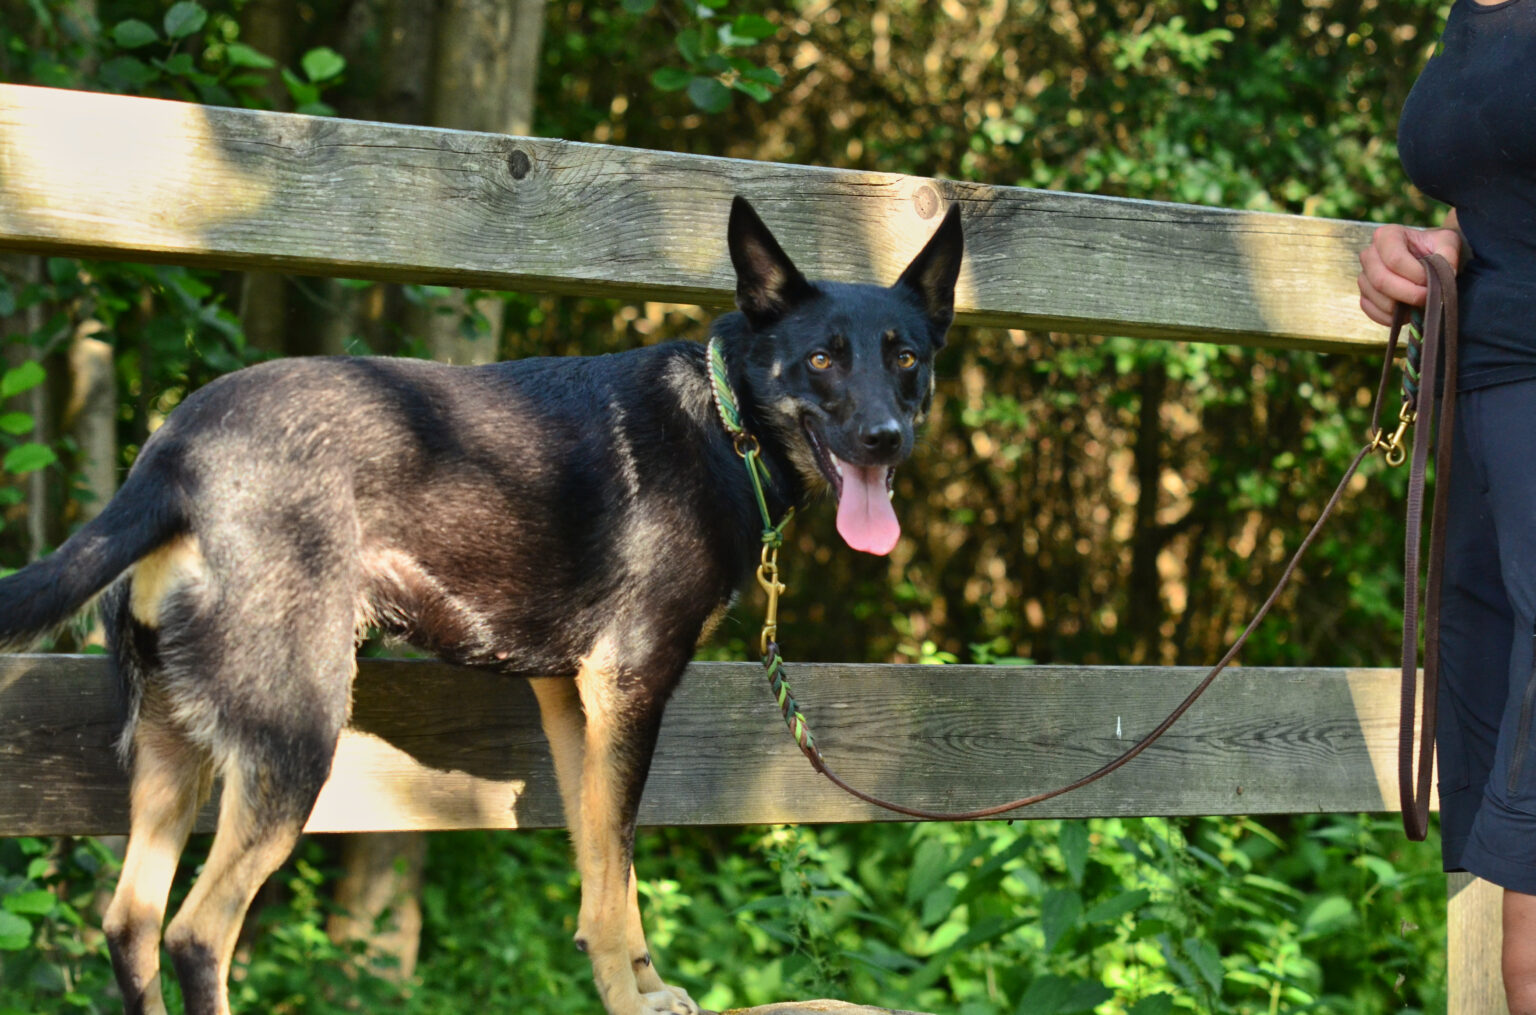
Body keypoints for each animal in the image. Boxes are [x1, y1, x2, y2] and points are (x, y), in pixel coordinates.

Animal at [0, 194, 958, 1007]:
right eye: (822, 358)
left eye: (907, 358)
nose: (886, 438)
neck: (727, 419)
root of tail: (174, 456)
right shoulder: (629, 685)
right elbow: (616, 870)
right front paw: (631, 997)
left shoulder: (574, 702)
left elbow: (606, 867)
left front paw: (640, 985)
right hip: (294, 734)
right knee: (197, 933)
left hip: (176, 746)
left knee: (131, 924)